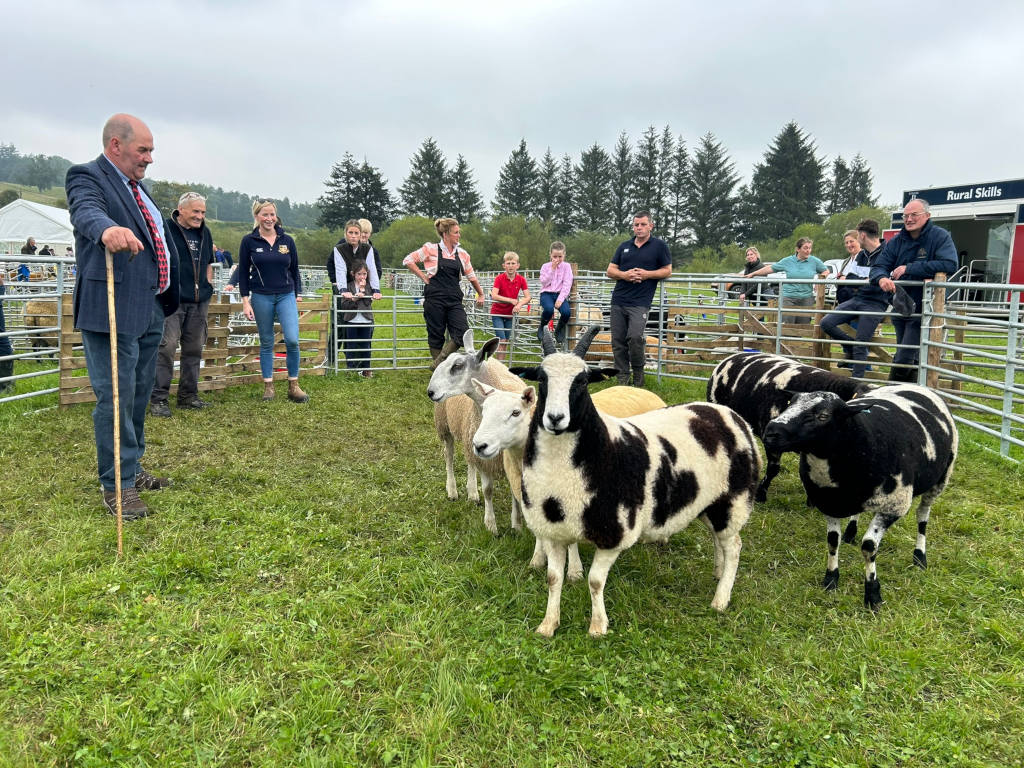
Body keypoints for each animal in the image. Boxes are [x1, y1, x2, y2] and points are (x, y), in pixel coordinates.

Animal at [427, 328, 667, 579]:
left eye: (457, 366)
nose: (430, 391)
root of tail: (643, 391)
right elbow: (493, 493)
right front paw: (530, 550)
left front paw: (573, 570)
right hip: (448, 428)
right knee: (452, 457)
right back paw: (458, 490)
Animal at [511, 327, 761, 637]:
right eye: (542, 378)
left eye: (582, 380)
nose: (555, 418)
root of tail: (730, 415)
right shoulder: (553, 530)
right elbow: (553, 578)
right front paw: (548, 625)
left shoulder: (615, 533)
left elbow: (595, 581)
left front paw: (598, 626)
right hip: (711, 503)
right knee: (719, 539)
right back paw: (717, 571)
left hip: (734, 499)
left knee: (734, 546)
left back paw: (721, 598)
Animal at [762, 384, 958, 610]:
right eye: (789, 404)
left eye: (823, 416)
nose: (771, 432)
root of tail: (917, 385)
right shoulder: (829, 502)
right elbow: (832, 541)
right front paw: (831, 579)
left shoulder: (894, 505)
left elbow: (869, 547)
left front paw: (873, 595)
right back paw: (851, 532)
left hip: (941, 478)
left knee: (922, 516)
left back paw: (919, 557)